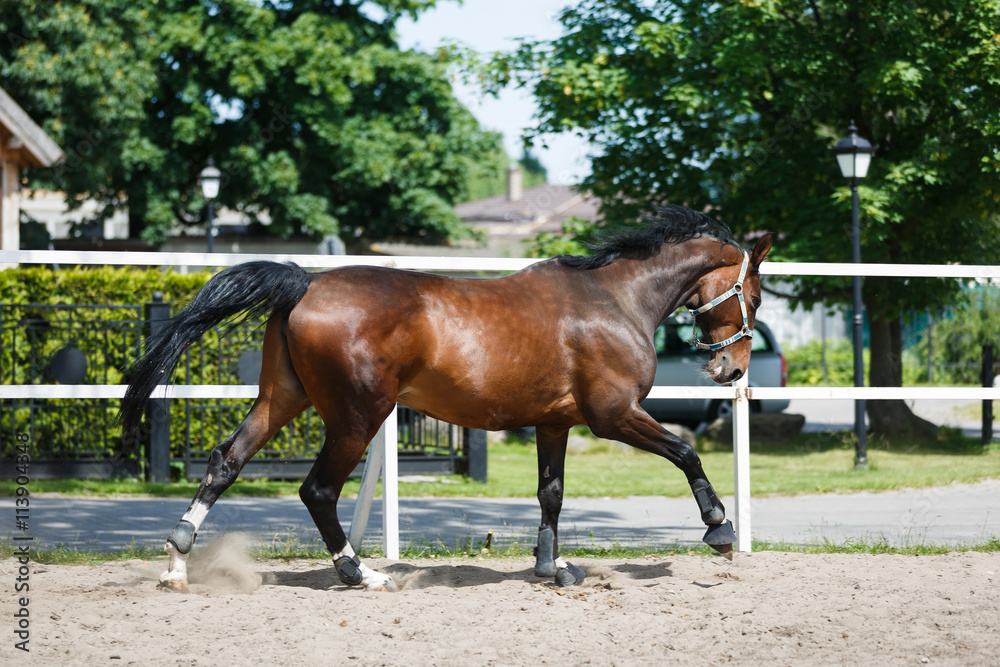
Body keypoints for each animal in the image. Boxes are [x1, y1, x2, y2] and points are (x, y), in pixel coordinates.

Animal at [120, 204, 773, 592]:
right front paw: (720, 532)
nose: (732, 368)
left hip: (282, 399)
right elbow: (686, 453)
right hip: (357, 416)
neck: (615, 300)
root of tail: (306, 281)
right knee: (317, 490)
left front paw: (552, 567)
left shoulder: (554, 424)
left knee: (226, 461)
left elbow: (552, 494)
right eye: (757, 297)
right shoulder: (613, 416)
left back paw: (177, 561)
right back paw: (359, 572)